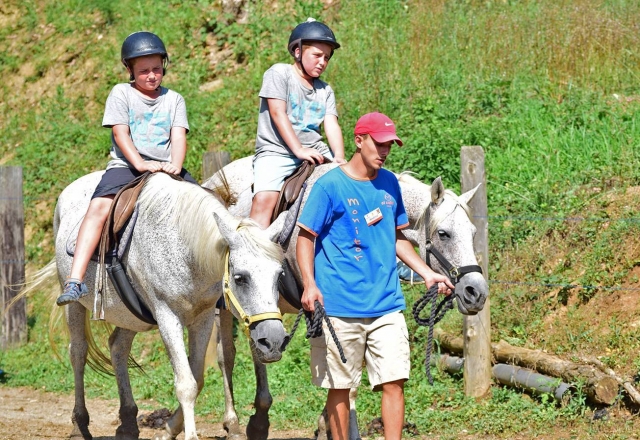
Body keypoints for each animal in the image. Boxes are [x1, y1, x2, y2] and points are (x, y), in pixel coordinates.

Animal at [24, 170, 291, 440]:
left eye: (279, 274)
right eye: (240, 278)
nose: (274, 340)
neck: (185, 249)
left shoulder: (203, 318)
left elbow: (197, 378)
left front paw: (170, 428)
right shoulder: (167, 317)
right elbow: (186, 384)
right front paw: (186, 434)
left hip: (130, 315)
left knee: (117, 347)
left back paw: (127, 424)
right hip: (75, 303)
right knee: (78, 353)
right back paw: (79, 426)